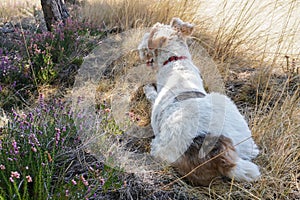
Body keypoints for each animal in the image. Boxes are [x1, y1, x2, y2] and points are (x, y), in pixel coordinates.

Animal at [138, 18, 260, 186]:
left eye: (150, 32)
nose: (139, 48)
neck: (176, 63)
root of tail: (219, 151)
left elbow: (151, 94)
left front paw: (147, 88)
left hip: (160, 147)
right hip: (244, 137)